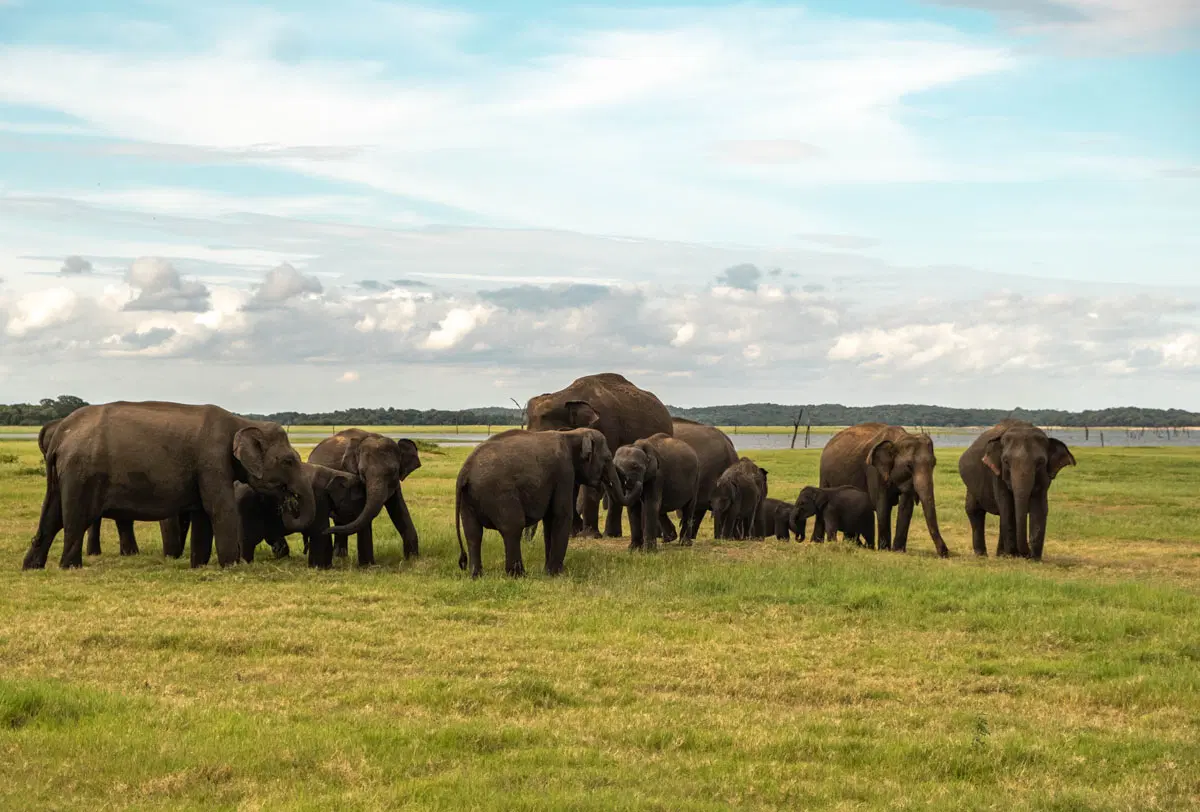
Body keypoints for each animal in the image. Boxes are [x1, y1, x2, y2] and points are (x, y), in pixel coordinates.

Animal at [24, 401, 316, 569]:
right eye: (289, 461)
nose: (290, 501)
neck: (243, 422)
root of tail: (61, 434)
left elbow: (202, 514)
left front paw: (199, 566)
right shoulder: (212, 460)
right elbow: (219, 509)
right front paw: (232, 567)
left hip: (63, 474)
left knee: (51, 516)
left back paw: (32, 566)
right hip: (82, 473)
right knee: (75, 518)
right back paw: (70, 567)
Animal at [307, 429, 421, 565]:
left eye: (394, 472)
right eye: (362, 473)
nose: (325, 531)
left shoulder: (396, 483)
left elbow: (400, 511)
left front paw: (412, 560)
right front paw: (369, 566)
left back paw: (340, 557)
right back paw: (339, 557)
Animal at [455, 428, 624, 578]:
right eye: (607, 458)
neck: (572, 433)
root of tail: (465, 471)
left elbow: (550, 519)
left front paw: (548, 571)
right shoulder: (564, 472)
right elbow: (560, 515)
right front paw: (555, 574)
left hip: (469, 498)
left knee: (473, 533)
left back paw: (476, 576)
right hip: (499, 494)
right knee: (512, 527)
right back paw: (518, 575)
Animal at [819, 423, 949, 557]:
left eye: (934, 463)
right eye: (909, 466)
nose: (945, 553)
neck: (899, 438)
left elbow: (906, 506)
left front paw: (898, 551)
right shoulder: (874, 470)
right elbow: (882, 505)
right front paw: (885, 549)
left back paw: (854, 544)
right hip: (824, 475)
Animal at [958, 420, 1076, 560]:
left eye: (1041, 462)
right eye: (1005, 461)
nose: (1026, 554)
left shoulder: (1045, 477)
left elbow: (1040, 506)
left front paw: (1034, 559)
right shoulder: (997, 474)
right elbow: (1007, 506)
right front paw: (1013, 555)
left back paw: (1000, 555)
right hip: (971, 485)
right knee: (975, 511)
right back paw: (983, 555)